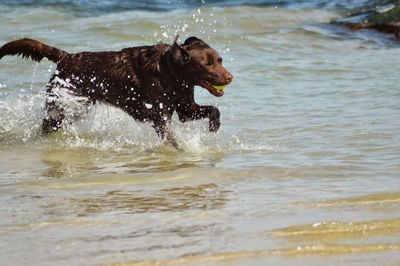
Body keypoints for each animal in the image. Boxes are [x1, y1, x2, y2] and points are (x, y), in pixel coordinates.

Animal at [0, 35, 233, 148]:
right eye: (208, 64)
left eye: (220, 60)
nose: (230, 77)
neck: (173, 72)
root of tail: (65, 57)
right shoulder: (160, 118)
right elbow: (172, 139)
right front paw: (184, 151)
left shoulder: (185, 108)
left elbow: (214, 110)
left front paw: (214, 126)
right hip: (64, 105)